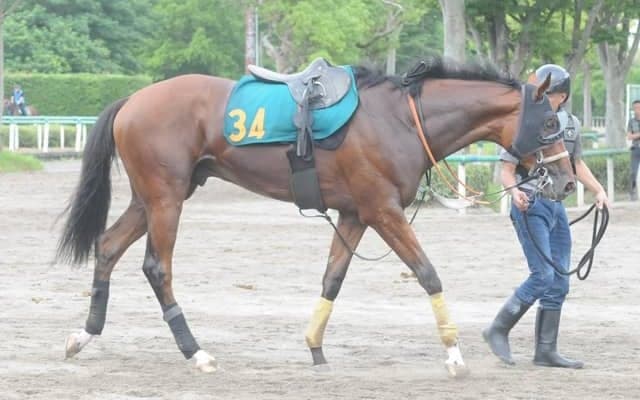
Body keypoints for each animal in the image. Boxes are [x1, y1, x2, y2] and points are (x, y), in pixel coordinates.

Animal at [57, 57, 575, 377]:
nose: (567, 182)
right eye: (550, 122)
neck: (400, 120)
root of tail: (132, 100)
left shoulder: (353, 215)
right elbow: (428, 273)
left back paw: (84, 336)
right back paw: (195, 351)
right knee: (157, 267)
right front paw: (453, 355)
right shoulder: (383, 211)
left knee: (108, 246)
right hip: (166, 199)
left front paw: (315, 347)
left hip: (152, 198)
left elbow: (332, 280)